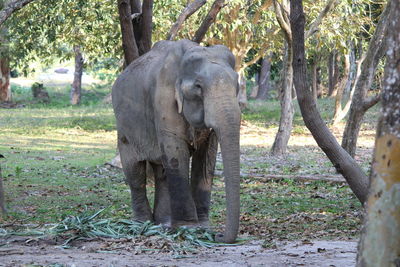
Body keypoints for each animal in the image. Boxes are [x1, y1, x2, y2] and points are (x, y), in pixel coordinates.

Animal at [111, 39, 241, 245]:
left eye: (237, 84)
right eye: (198, 87)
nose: (219, 236)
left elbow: (206, 158)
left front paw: (203, 228)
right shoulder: (163, 99)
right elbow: (176, 152)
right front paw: (189, 228)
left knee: (162, 171)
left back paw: (163, 224)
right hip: (124, 128)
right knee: (135, 171)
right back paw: (142, 224)